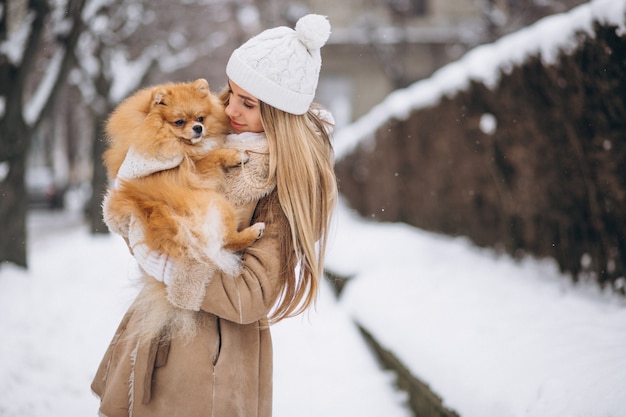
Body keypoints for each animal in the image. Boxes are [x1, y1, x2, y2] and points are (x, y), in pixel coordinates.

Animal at [100, 78, 266, 300]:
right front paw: (235, 155)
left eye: (200, 118)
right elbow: (211, 155)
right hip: (216, 203)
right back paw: (254, 231)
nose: (198, 128)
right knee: (226, 241)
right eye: (179, 122)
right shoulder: (191, 167)